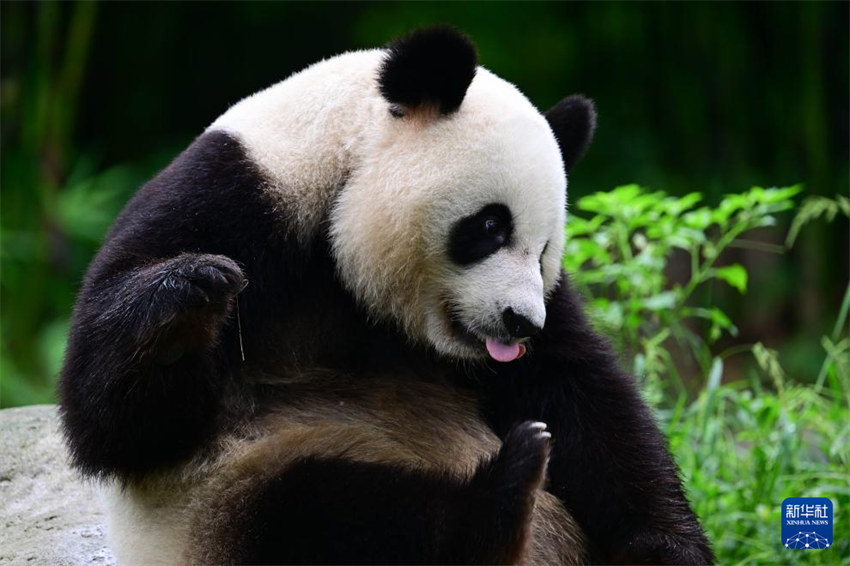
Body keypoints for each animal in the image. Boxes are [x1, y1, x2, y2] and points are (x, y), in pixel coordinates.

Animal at [59, 27, 713, 565]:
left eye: (544, 249)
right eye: (490, 226)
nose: (521, 322)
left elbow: (580, 394)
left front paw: (665, 550)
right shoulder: (229, 198)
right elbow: (117, 425)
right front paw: (186, 306)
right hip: (226, 499)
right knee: (324, 517)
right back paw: (498, 503)